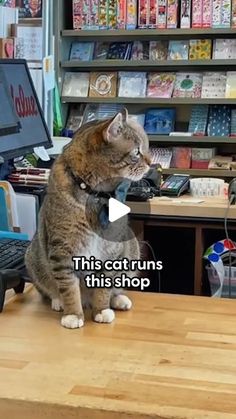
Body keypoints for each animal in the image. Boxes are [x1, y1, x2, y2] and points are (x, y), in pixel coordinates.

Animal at [24, 110, 150, 330]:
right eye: (137, 152)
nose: (152, 163)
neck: (96, 194)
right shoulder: (62, 249)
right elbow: (68, 287)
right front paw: (73, 314)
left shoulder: (111, 251)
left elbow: (104, 288)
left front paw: (101, 310)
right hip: (33, 256)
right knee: (49, 289)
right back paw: (58, 301)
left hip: (132, 247)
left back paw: (118, 300)